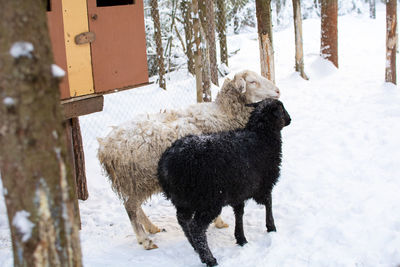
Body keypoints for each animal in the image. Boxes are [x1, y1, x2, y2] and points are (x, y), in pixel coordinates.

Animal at [97, 70, 280, 250]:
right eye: (252, 82)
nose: (277, 91)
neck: (224, 113)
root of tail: (105, 148)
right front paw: (219, 222)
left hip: (136, 182)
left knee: (135, 206)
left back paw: (151, 228)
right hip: (140, 179)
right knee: (130, 207)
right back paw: (145, 239)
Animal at [156, 99, 290, 266]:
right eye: (282, 110)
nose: (290, 120)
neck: (262, 135)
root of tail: (168, 164)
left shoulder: (239, 190)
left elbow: (239, 213)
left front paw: (241, 238)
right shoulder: (265, 184)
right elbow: (268, 204)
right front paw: (271, 228)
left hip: (184, 200)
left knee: (183, 221)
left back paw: (196, 248)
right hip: (209, 200)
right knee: (196, 228)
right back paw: (209, 258)